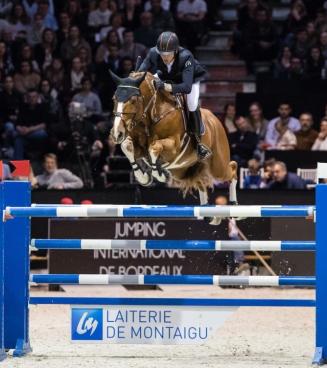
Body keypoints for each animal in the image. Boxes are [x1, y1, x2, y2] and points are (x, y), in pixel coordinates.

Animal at [110, 71, 238, 221]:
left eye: (133, 100)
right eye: (114, 98)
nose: (117, 133)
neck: (152, 113)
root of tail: (215, 119)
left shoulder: (173, 146)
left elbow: (154, 147)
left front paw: (160, 175)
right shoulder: (139, 147)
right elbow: (126, 146)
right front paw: (144, 177)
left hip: (217, 166)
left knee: (232, 168)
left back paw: (234, 206)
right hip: (182, 170)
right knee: (200, 181)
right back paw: (207, 212)